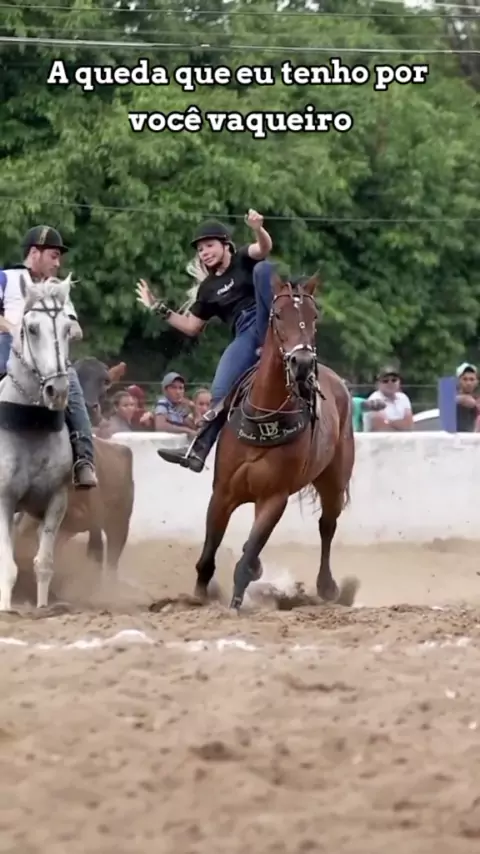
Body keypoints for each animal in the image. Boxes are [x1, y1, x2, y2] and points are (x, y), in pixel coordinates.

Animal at [192, 271, 356, 610]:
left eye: (314, 315)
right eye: (279, 314)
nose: (302, 363)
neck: (263, 414)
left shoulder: (273, 498)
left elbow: (247, 556)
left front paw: (236, 602)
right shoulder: (222, 493)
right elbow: (209, 551)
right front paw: (199, 596)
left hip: (334, 480)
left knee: (327, 526)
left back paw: (328, 587)